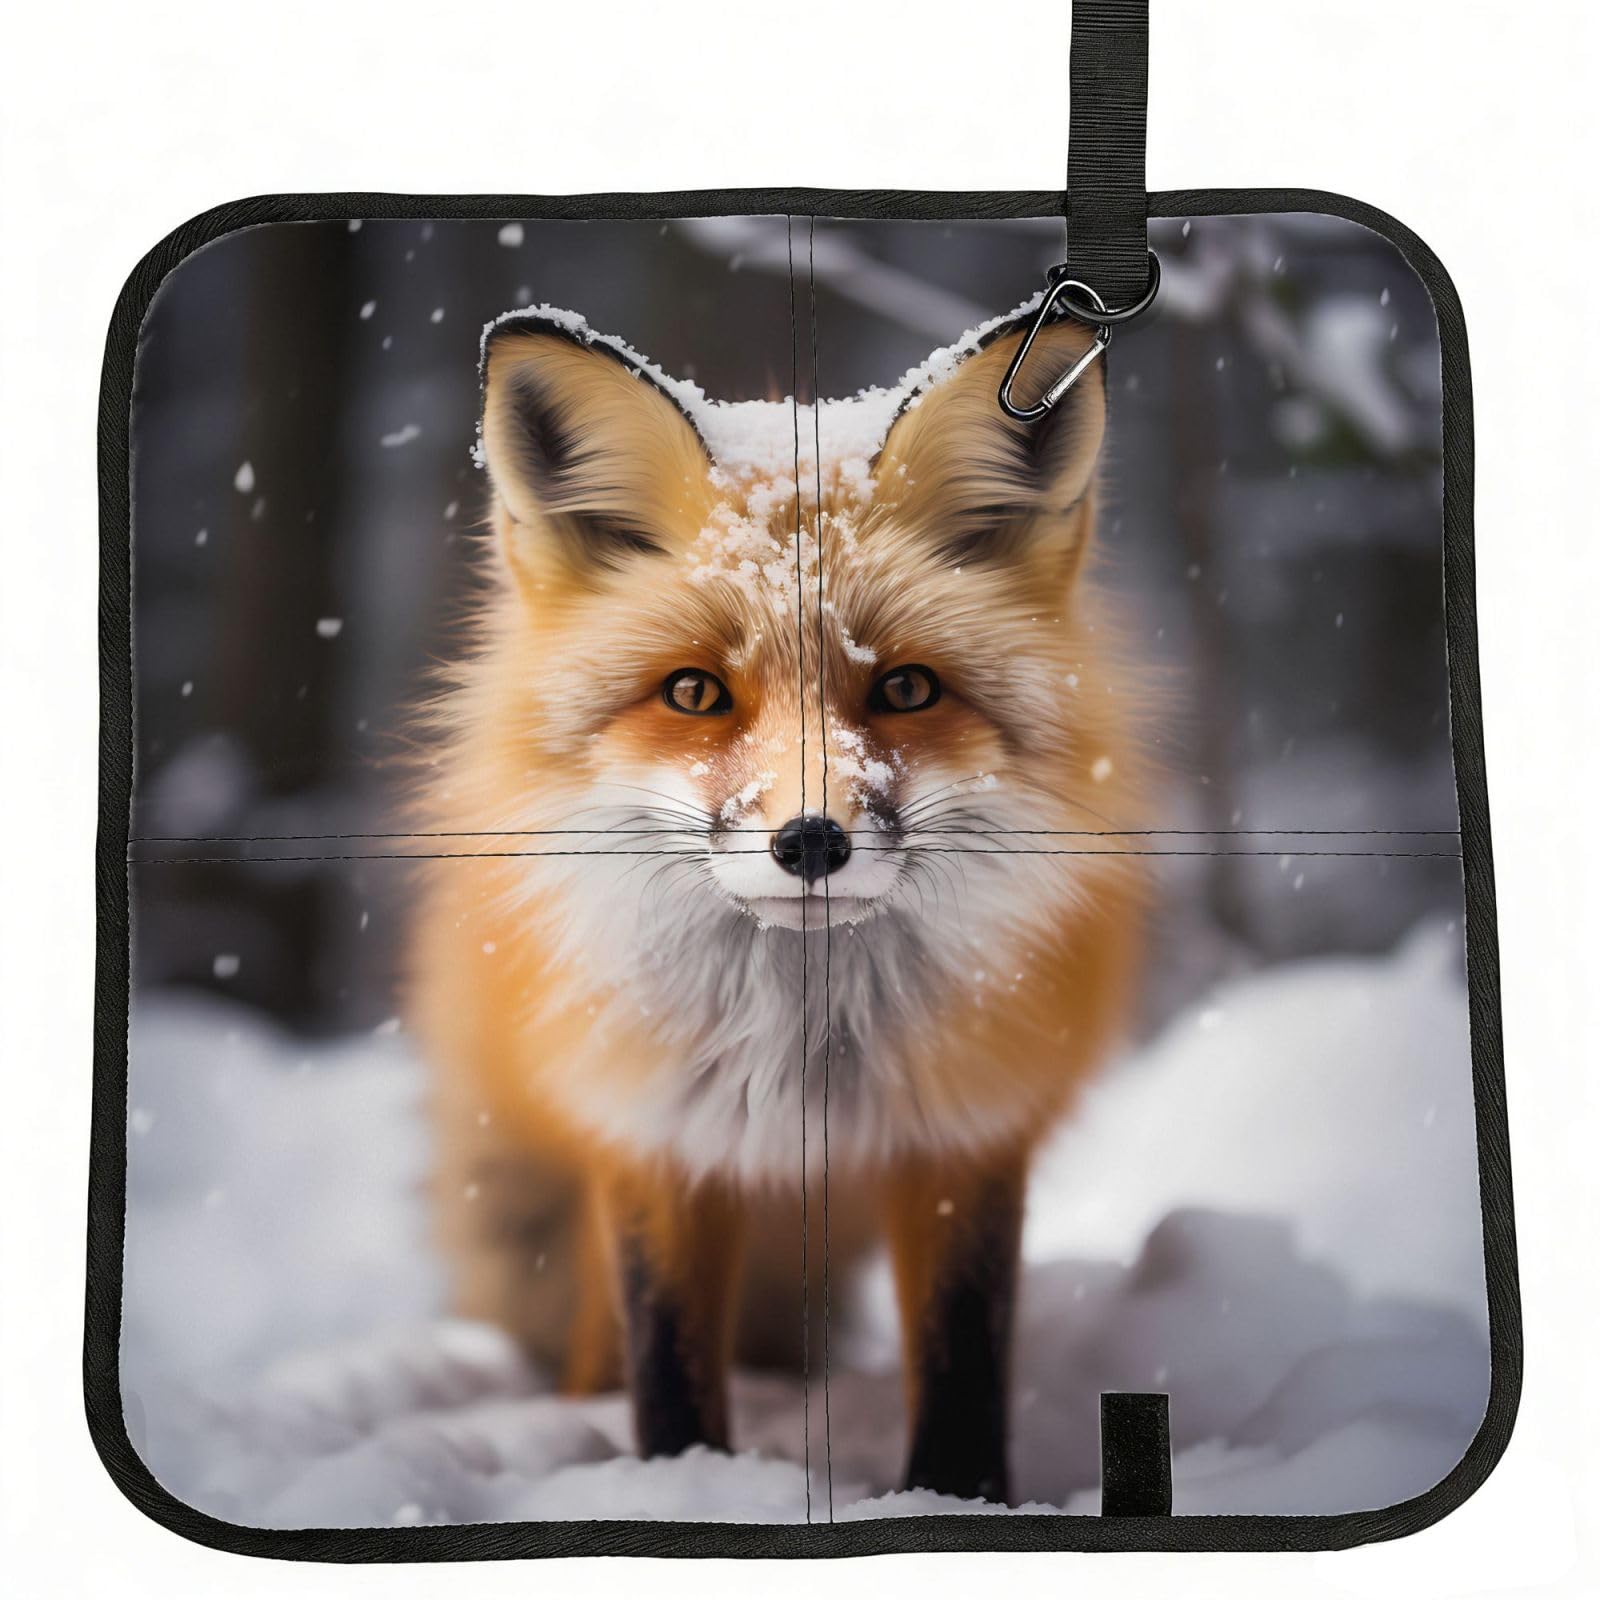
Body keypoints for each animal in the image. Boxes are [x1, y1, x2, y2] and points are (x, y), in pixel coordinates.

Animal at [407, 299, 1145, 1506]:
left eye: (905, 687)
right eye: (694, 693)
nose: (811, 842)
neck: (807, 1053)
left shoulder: (967, 1132)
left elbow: (962, 1351)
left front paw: (958, 1498)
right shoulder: (650, 1131)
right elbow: (663, 1354)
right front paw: (682, 1482)